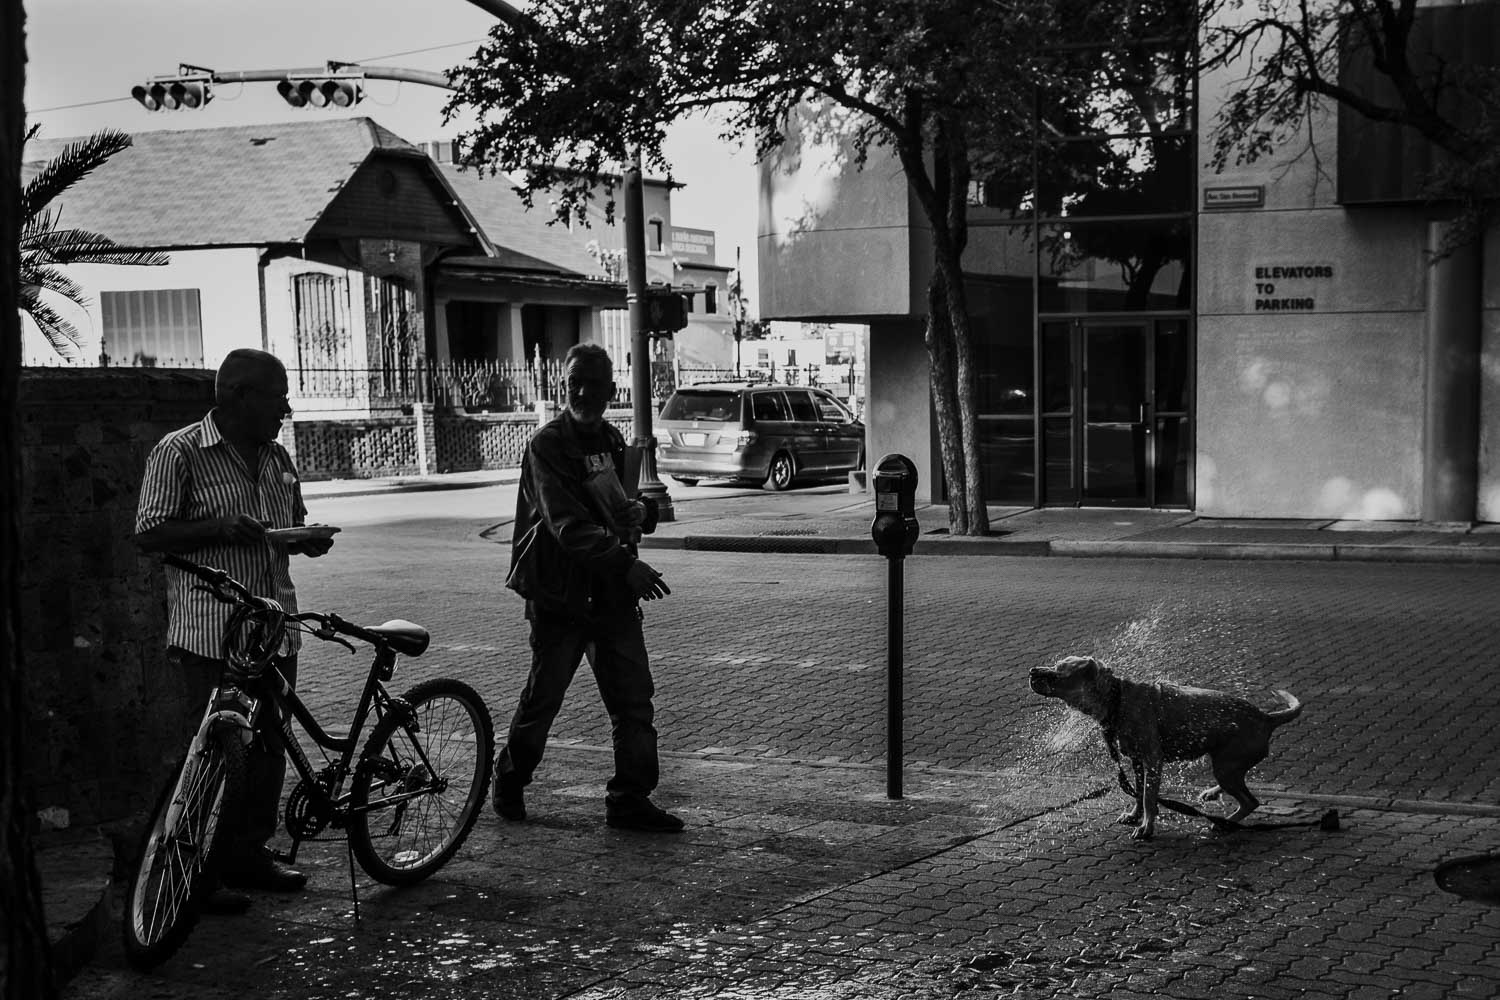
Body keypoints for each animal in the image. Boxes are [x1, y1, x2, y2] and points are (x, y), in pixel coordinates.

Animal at [1032, 653, 1302, 839]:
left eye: (1058, 672)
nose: (1032, 670)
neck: (1117, 698)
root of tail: (1266, 717)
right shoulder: (1137, 761)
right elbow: (1139, 794)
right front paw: (1134, 815)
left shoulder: (1152, 760)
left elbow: (1149, 797)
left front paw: (1146, 827)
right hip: (1224, 762)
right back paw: (1213, 793)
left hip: (1226, 765)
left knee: (1250, 802)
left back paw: (1226, 822)